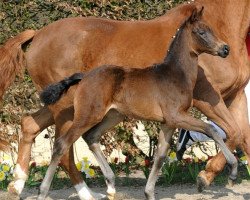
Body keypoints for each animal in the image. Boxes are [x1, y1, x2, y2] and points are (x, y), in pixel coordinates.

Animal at [0, 0, 248, 198]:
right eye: (202, 32)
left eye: (212, 29)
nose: (224, 49)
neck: (174, 72)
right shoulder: (193, 107)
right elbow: (216, 130)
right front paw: (218, 173)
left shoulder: (173, 121)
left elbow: (161, 156)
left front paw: (150, 192)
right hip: (77, 112)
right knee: (63, 146)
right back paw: (65, 192)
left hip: (107, 114)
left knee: (50, 129)